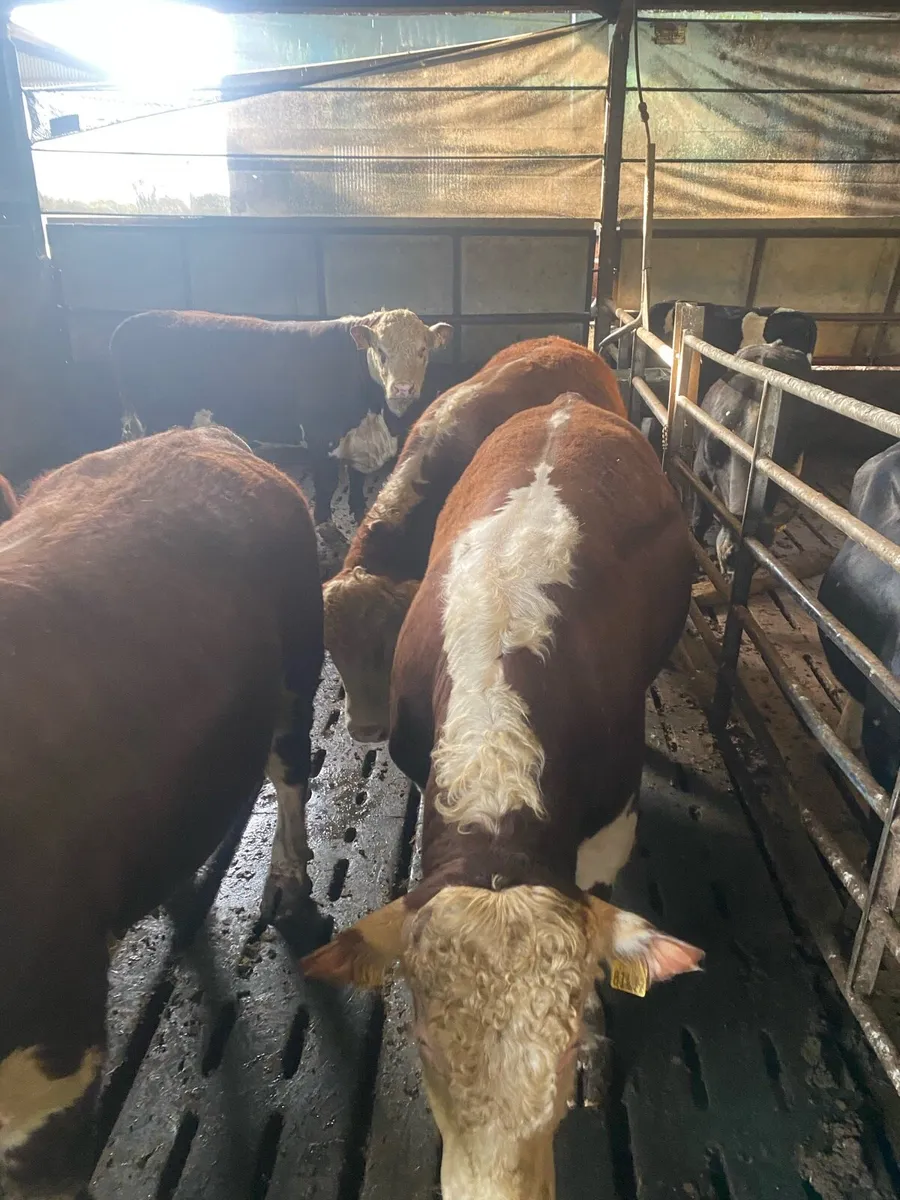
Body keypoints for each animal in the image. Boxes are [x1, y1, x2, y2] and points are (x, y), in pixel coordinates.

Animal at [109, 307, 453, 530]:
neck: (374, 415)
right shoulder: (321, 438)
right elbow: (326, 486)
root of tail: (130, 323)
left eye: (423, 350)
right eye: (381, 351)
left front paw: (359, 515)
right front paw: (323, 522)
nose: (403, 387)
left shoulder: (358, 442)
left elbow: (356, 484)